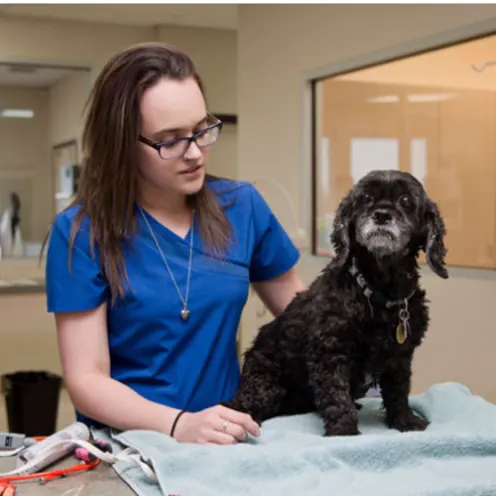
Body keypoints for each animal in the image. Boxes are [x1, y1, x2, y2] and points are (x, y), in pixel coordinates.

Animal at [226, 171, 450, 438]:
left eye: (405, 200)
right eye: (365, 198)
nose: (381, 215)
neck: (379, 290)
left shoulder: (400, 356)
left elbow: (398, 390)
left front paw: (405, 420)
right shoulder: (329, 351)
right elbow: (336, 396)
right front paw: (344, 429)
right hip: (265, 385)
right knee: (241, 405)